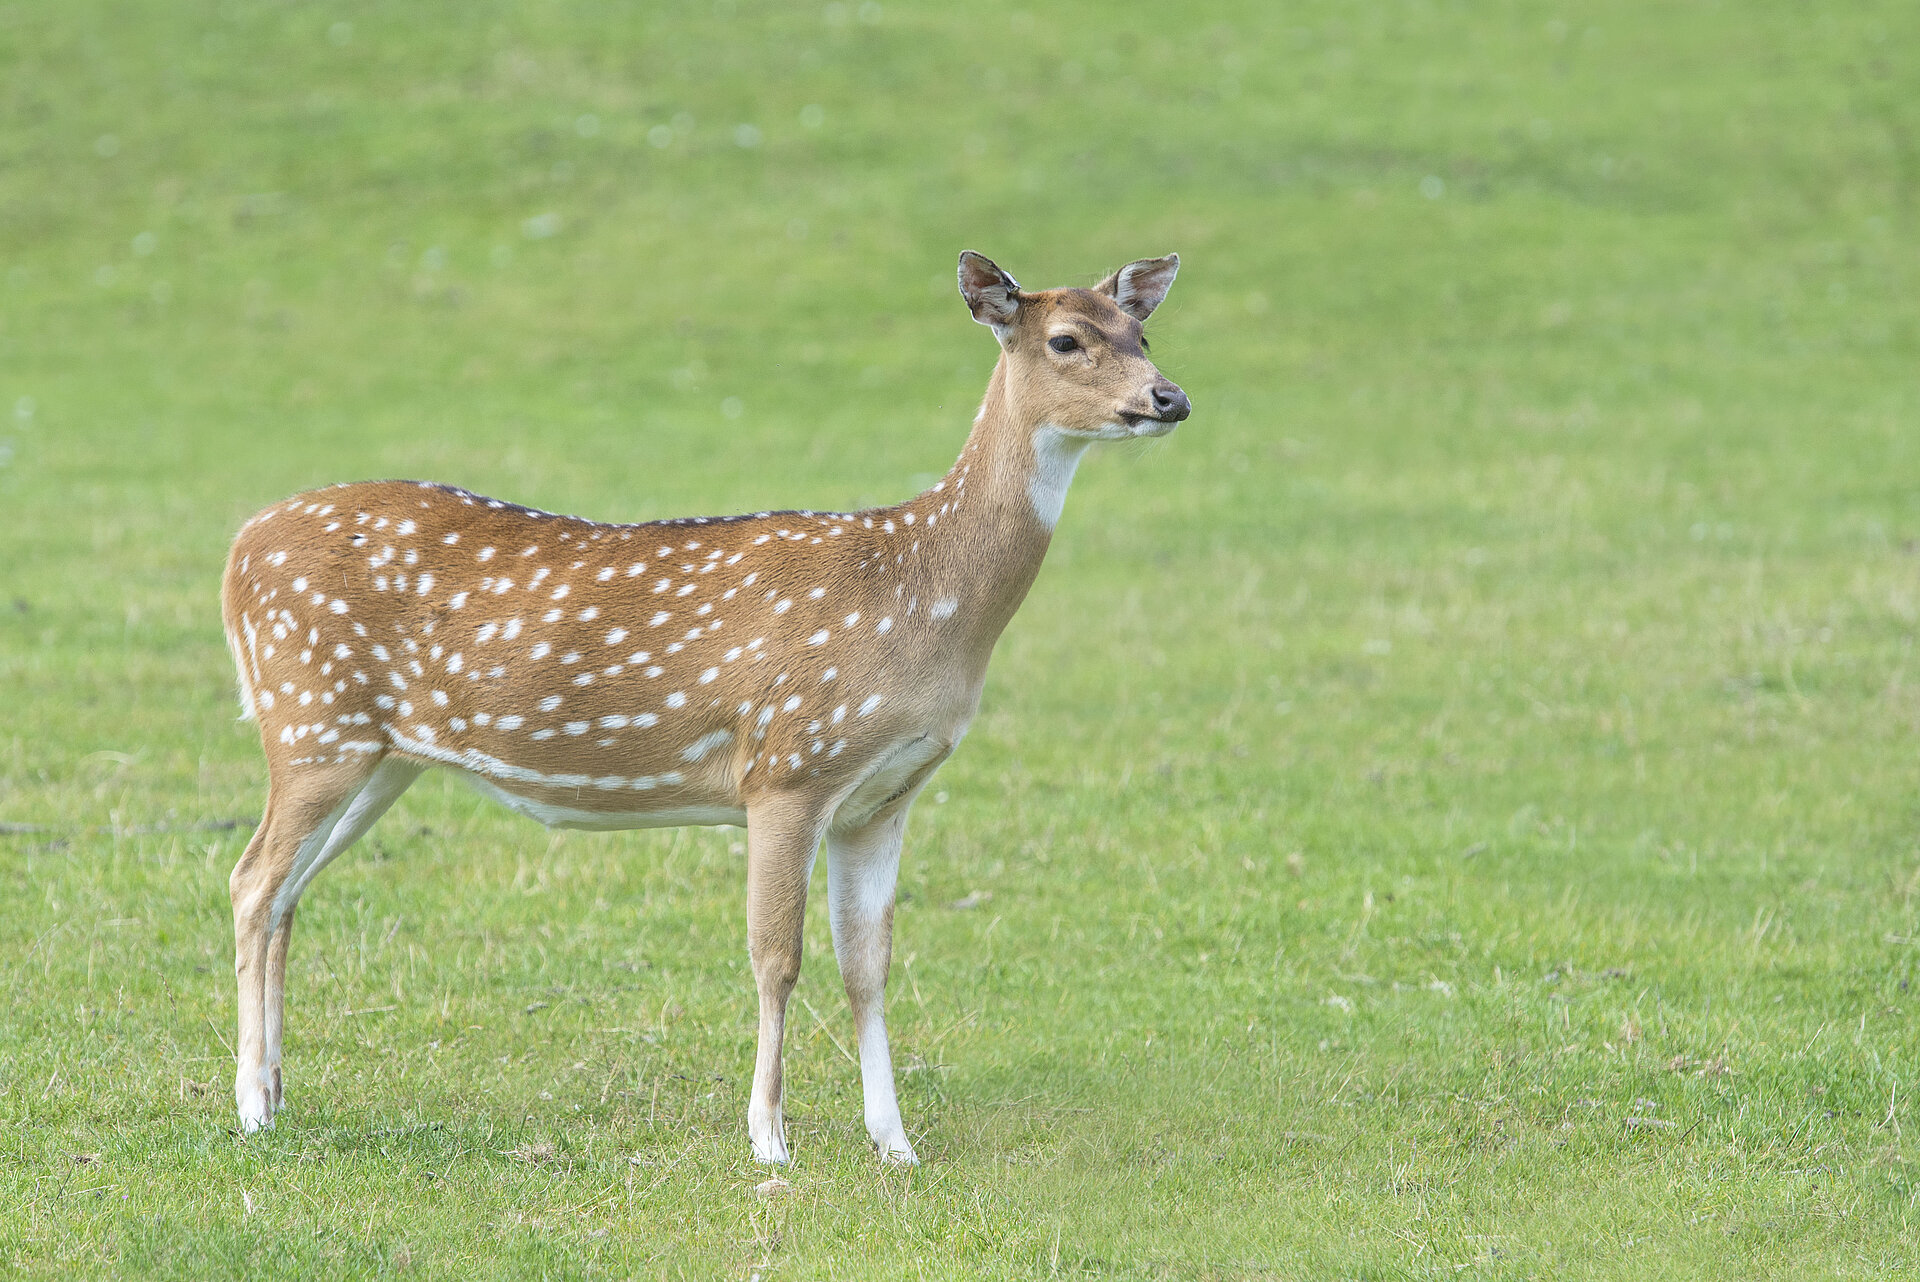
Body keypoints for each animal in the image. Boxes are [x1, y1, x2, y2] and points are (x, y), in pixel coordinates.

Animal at [219, 250, 1189, 1165]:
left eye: (1141, 332)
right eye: (1065, 339)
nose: (1169, 397)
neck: (921, 598)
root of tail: (237, 553)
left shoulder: (884, 797)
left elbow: (869, 965)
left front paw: (896, 1143)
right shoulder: (789, 766)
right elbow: (777, 958)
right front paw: (770, 1138)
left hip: (378, 758)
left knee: (288, 891)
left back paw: (278, 1091)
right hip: (310, 723)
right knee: (252, 878)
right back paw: (250, 1108)